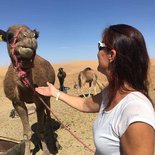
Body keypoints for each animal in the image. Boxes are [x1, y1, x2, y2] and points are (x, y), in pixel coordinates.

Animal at [0, 24, 58, 154]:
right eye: (9, 36)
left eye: (36, 35)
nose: (30, 37)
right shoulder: (17, 102)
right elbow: (27, 134)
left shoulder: (40, 100)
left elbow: (41, 130)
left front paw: (47, 151)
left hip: (47, 97)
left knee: (48, 117)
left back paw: (54, 144)